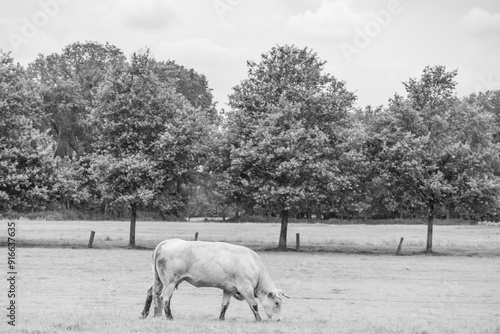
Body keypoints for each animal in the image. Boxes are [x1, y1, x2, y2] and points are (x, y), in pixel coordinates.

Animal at [141, 237, 290, 320]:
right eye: (277, 303)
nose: (278, 320)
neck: (254, 265)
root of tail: (167, 242)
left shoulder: (228, 289)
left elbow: (225, 305)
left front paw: (221, 318)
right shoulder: (245, 288)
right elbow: (254, 305)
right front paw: (259, 319)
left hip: (159, 280)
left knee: (151, 293)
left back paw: (145, 314)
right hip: (170, 282)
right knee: (165, 298)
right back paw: (170, 317)